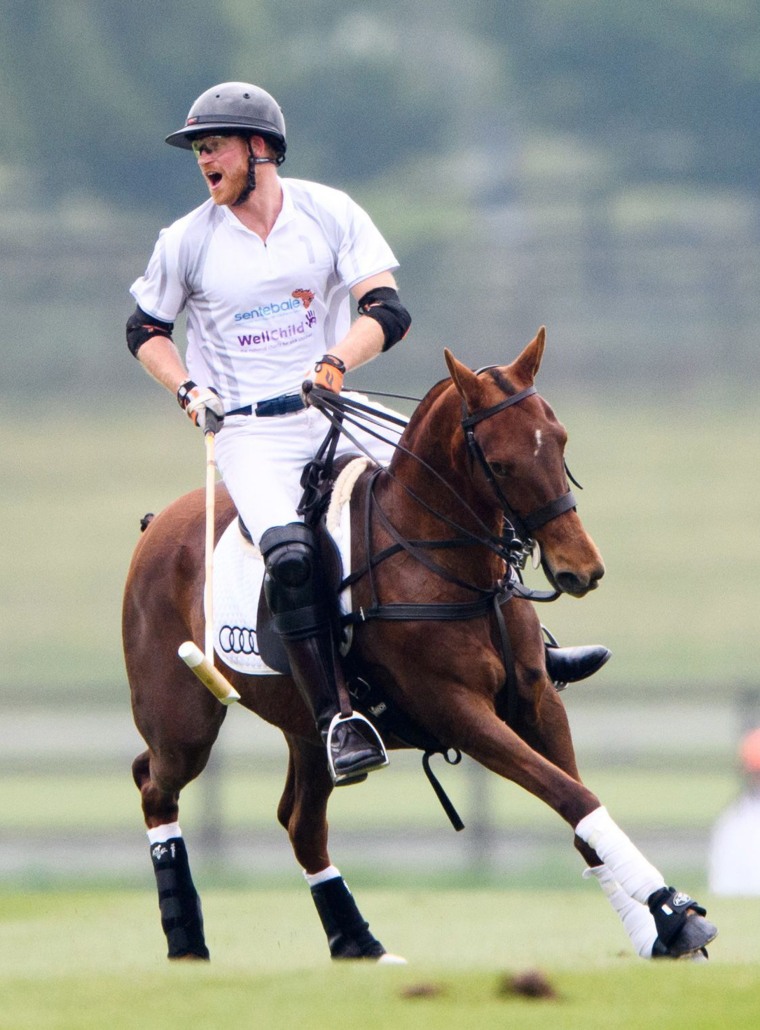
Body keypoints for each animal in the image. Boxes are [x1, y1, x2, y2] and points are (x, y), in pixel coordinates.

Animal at [121, 329, 712, 964]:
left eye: (559, 441)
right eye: (499, 463)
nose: (581, 570)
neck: (455, 572)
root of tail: (156, 525)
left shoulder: (536, 701)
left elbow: (582, 809)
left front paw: (664, 925)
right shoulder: (459, 713)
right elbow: (570, 796)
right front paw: (673, 913)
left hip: (307, 726)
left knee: (301, 824)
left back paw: (360, 944)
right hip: (183, 720)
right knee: (154, 783)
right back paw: (187, 942)